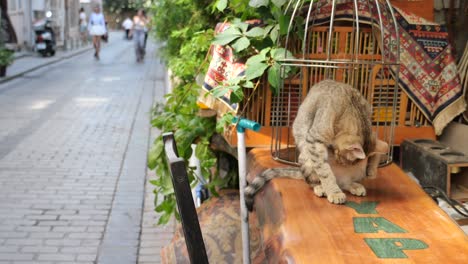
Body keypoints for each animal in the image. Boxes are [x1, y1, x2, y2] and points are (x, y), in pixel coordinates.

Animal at [243, 79, 386, 209]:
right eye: (341, 158)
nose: (341, 163)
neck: (352, 105)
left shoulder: (373, 132)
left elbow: (381, 147)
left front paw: (372, 170)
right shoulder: (315, 140)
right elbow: (325, 172)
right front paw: (334, 192)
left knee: (344, 183)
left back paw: (354, 185)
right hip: (306, 156)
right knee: (314, 181)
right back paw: (322, 188)